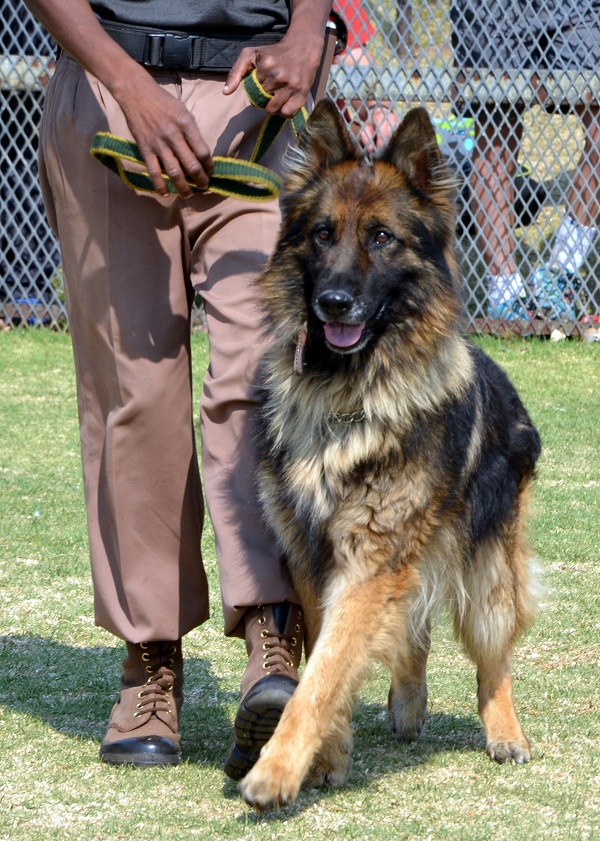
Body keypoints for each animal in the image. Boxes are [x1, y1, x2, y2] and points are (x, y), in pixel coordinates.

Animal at [240, 101, 544, 812]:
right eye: (323, 235)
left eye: (381, 237)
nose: (333, 303)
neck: (347, 393)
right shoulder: (315, 558)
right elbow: (328, 661)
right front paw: (327, 758)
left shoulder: (371, 561)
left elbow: (324, 675)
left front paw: (276, 770)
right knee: (415, 630)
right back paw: (408, 704)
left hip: (489, 569)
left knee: (493, 653)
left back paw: (505, 732)